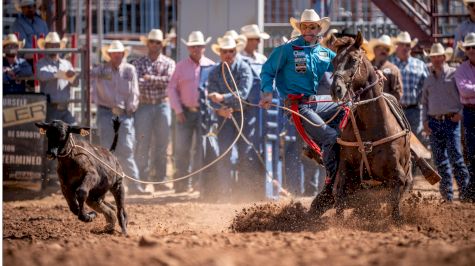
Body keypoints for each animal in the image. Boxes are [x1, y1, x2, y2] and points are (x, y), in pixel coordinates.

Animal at [330, 32, 412, 221]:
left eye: (353, 59)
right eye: (334, 61)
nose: (336, 89)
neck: (371, 127)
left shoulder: (398, 178)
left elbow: (395, 207)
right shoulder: (345, 172)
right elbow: (339, 198)